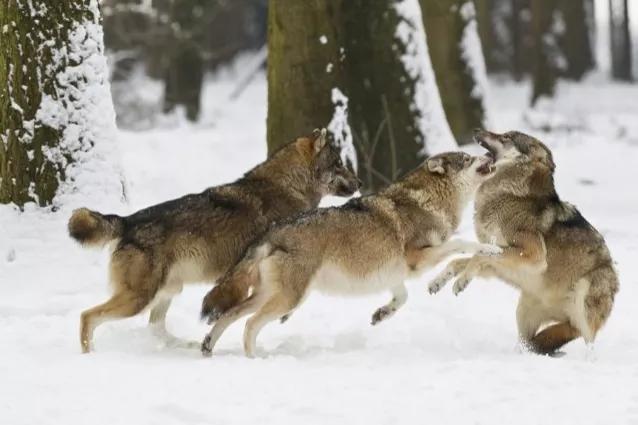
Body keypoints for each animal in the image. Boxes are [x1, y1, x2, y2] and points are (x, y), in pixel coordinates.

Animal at [70, 128, 362, 352]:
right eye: (338, 163)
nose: (360, 182)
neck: (289, 188)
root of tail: (127, 220)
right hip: (139, 299)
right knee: (87, 316)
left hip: (167, 291)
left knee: (154, 327)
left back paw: (185, 346)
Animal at [200, 151, 500, 356]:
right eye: (466, 158)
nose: (488, 153)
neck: (428, 201)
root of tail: (272, 232)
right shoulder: (419, 259)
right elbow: (462, 243)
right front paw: (491, 248)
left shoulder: (394, 274)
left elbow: (402, 298)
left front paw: (382, 314)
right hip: (288, 299)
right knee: (250, 324)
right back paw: (254, 360)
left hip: (270, 295)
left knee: (229, 315)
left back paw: (208, 347)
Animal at [430, 129, 620, 354]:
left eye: (506, 137)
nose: (476, 130)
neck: (509, 195)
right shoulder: (499, 265)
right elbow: (461, 261)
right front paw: (439, 281)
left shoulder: (532, 254)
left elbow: (476, 257)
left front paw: (461, 281)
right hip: (524, 312)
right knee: (529, 343)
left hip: (584, 306)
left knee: (586, 341)